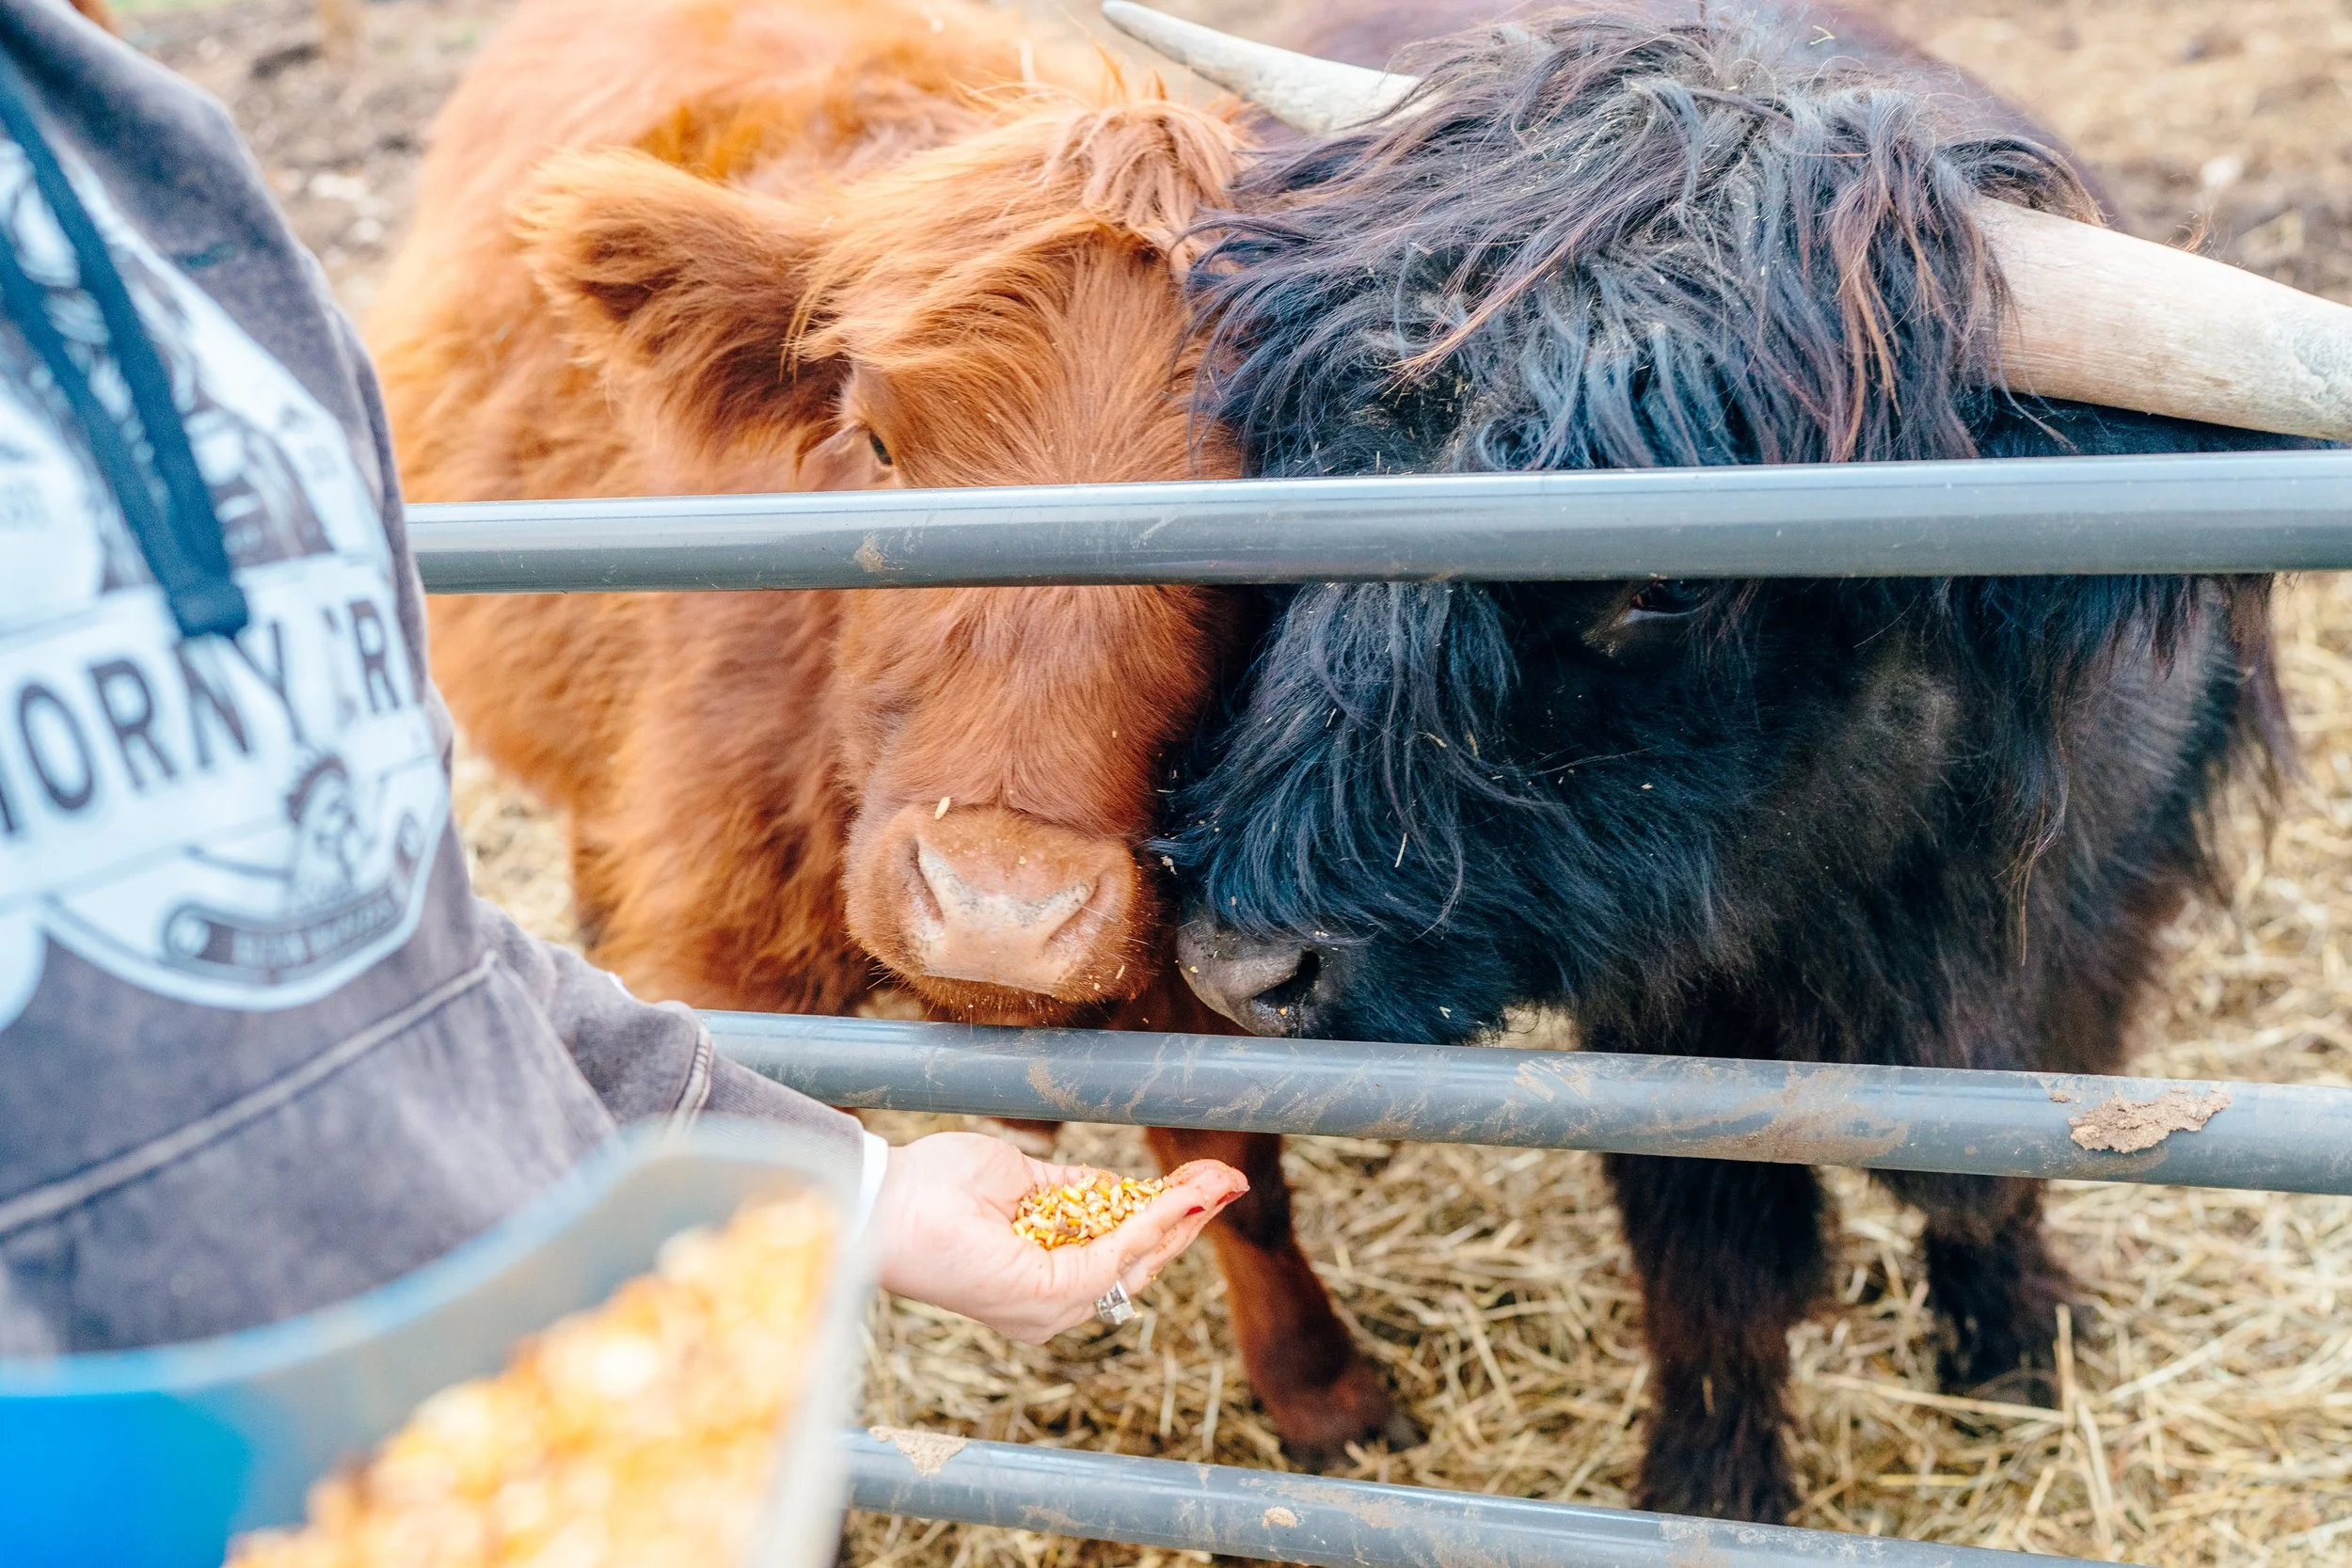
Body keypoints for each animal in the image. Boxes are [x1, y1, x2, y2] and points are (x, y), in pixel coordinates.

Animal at [1110, 0, 2352, 1521]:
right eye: (1299, 471)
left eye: (1663, 584)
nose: (1240, 967)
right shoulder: (1670, 1010)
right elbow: (1713, 1248)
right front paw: (1712, 1482)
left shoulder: (2092, 926)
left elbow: (2000, 1158)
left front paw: (2015, 1342)